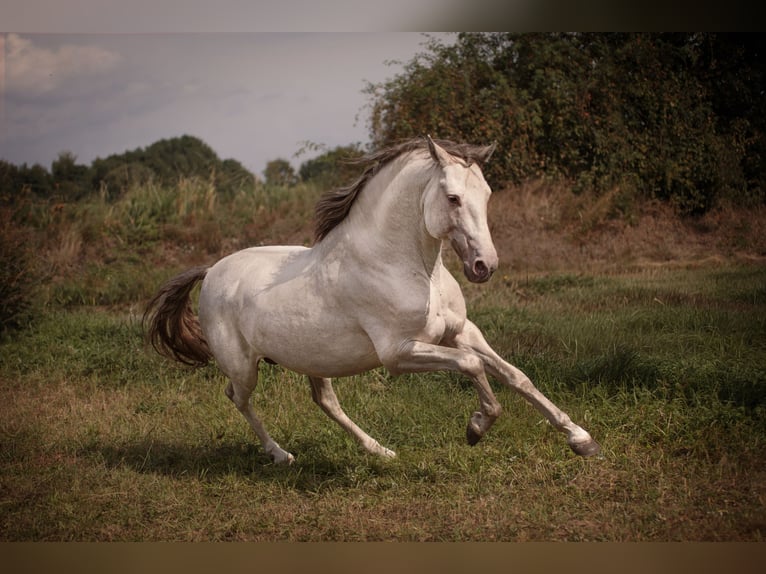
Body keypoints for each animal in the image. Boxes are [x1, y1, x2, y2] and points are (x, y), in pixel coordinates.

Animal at [144, 136, 600, 465]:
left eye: (486, 194)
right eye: (452, 198)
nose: (484, 265)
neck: (410, 268)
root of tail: (211, 272)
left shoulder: (460, 332)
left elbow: (516, 375)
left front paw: (582, 440)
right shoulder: (398, 353)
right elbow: (473, 367)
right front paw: (476, 427)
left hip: (315, 360)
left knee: (325, 402)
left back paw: (379, 451)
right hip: (243, 367)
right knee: (238, 399)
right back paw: (281, 455)